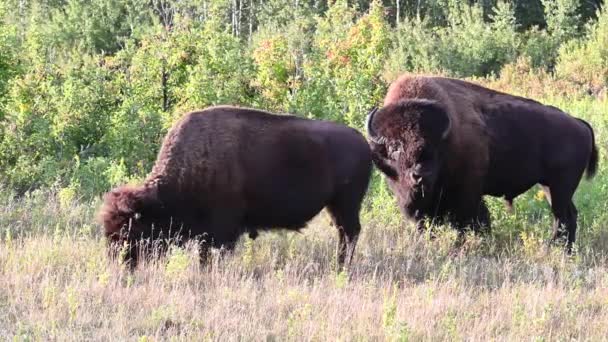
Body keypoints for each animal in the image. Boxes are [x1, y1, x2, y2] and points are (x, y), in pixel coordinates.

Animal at [98, 105, 372, 268]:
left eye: (130, 232)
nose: (119, 264)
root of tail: (363, 143)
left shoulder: (221, 231)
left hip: (346, 204)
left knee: (350, 233)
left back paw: (341, 267)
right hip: (336, 207)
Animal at [366, 75, 600, 251]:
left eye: (433, 145)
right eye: (394, 146)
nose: (420, 175)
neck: (448, 137)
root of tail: (579, 123)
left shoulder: (466, 193)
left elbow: (467, 222)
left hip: (561, 186)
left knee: (563, 217)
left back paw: (555, 249)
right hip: (550, 186)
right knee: (568, 215)